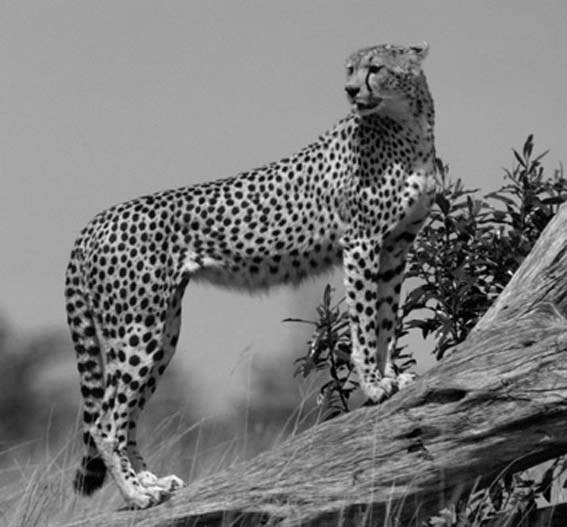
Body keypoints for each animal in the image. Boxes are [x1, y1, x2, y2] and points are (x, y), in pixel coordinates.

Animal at [65, 42, 436, 508]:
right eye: (351, 69)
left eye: (376, 68)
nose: (351, 90)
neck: (406, 123)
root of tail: (95, 221)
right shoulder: (362, 243)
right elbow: (367, 322)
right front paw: (372, 384)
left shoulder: (394, 248)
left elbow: (386, 319)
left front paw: (389, 377)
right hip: (137, 327)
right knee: (105, 422)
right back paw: (136, 495)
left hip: (161, 328)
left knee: (127, 415)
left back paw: (152, 483)